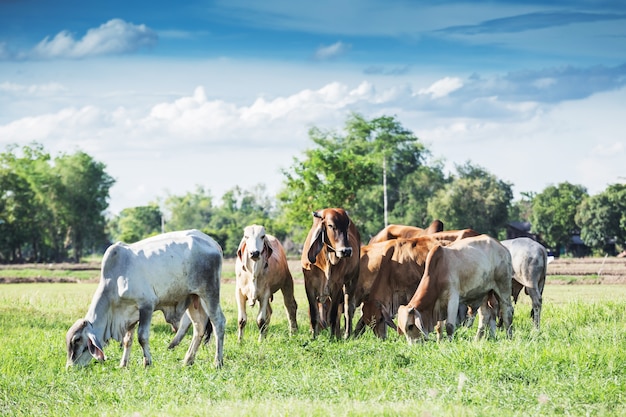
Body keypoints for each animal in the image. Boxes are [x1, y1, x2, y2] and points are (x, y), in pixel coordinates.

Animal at [65, 229, 227, 368]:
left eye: (77, 340)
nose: (70, 367)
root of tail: (213, 243)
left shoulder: (147, 306)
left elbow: (142, 337)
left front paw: (147, 362)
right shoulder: (129, 314)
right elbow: (127, 340)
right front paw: (123, 364)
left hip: (209, 293)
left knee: (218, 323)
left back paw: (217, 362)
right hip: (194, 298)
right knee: (199, 326)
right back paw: (188, 360)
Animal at [300, 208, 358, 338]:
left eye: (347, 226)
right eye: (331, 225)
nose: (346, 251)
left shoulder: (336, 286)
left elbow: (333, 315)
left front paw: (332, 338)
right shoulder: (309, 286)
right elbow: (314, 315)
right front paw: (314, 337)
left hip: (352, 281)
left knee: (347, 310)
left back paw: (346, 334)